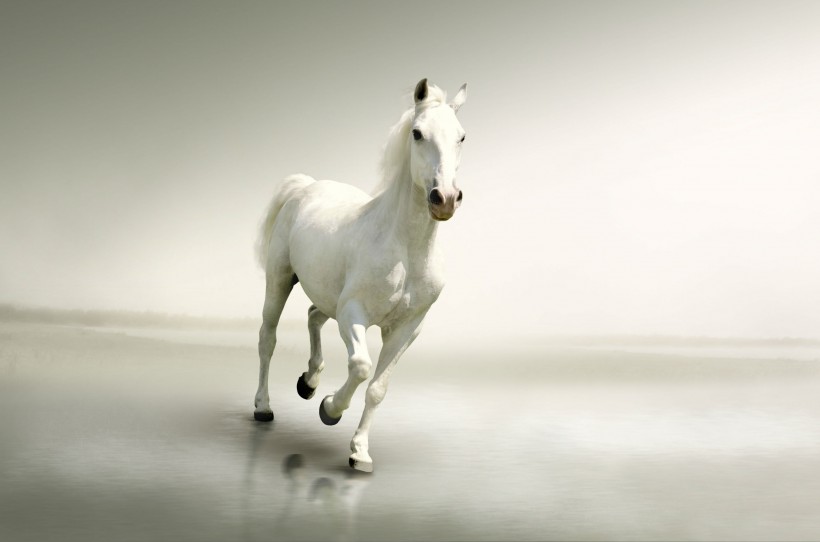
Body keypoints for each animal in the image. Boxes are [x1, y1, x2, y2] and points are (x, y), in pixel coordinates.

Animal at [253, 78, 468, 472]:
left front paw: (360, 453)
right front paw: (330, 409)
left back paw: (309, 382)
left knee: (313, 315)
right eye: (417, 133)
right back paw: (264, 406)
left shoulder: (407, 328)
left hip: (327, 297)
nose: (445, 198)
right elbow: (361, 366)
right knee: (267, 338)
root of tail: (306, 186)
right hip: (279, 280)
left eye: (461, 136)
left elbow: (378, 388)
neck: (405, 250)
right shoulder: (354, 314)